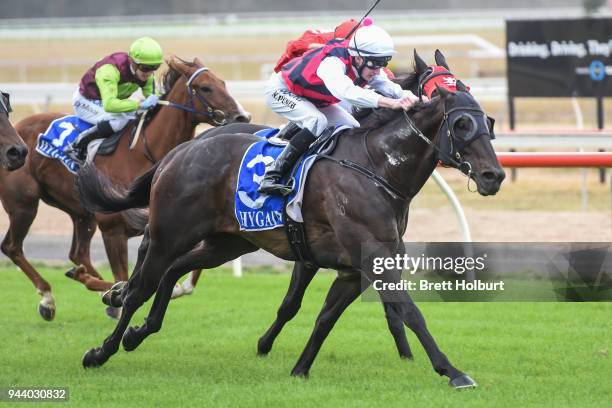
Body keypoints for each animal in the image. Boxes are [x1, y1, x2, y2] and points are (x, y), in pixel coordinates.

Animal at [0, 55, 250, 320]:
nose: (242, 117)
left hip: (81, 214)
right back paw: (49, 298)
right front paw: (117, 297)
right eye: (205, 87)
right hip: (24, 204)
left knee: (78, 254)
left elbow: (187, 275)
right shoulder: (114, 232)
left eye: (222, 83)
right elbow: (125, 277)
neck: (143, 154)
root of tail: (19, 129)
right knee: (12, 247)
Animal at [77, 49, 506, 388]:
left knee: (173, 271)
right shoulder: (373, 262)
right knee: (139, 288)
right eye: (461, 124)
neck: (376, 166)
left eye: (487, 122)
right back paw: (102, 349)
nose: (493, 176)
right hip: (170, 234)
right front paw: (453, 371)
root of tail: (179, 152)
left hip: (226, 242)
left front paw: (300, 368)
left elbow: (325, 318)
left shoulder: (353, 270)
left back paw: (139, 332)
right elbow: (411, 313)